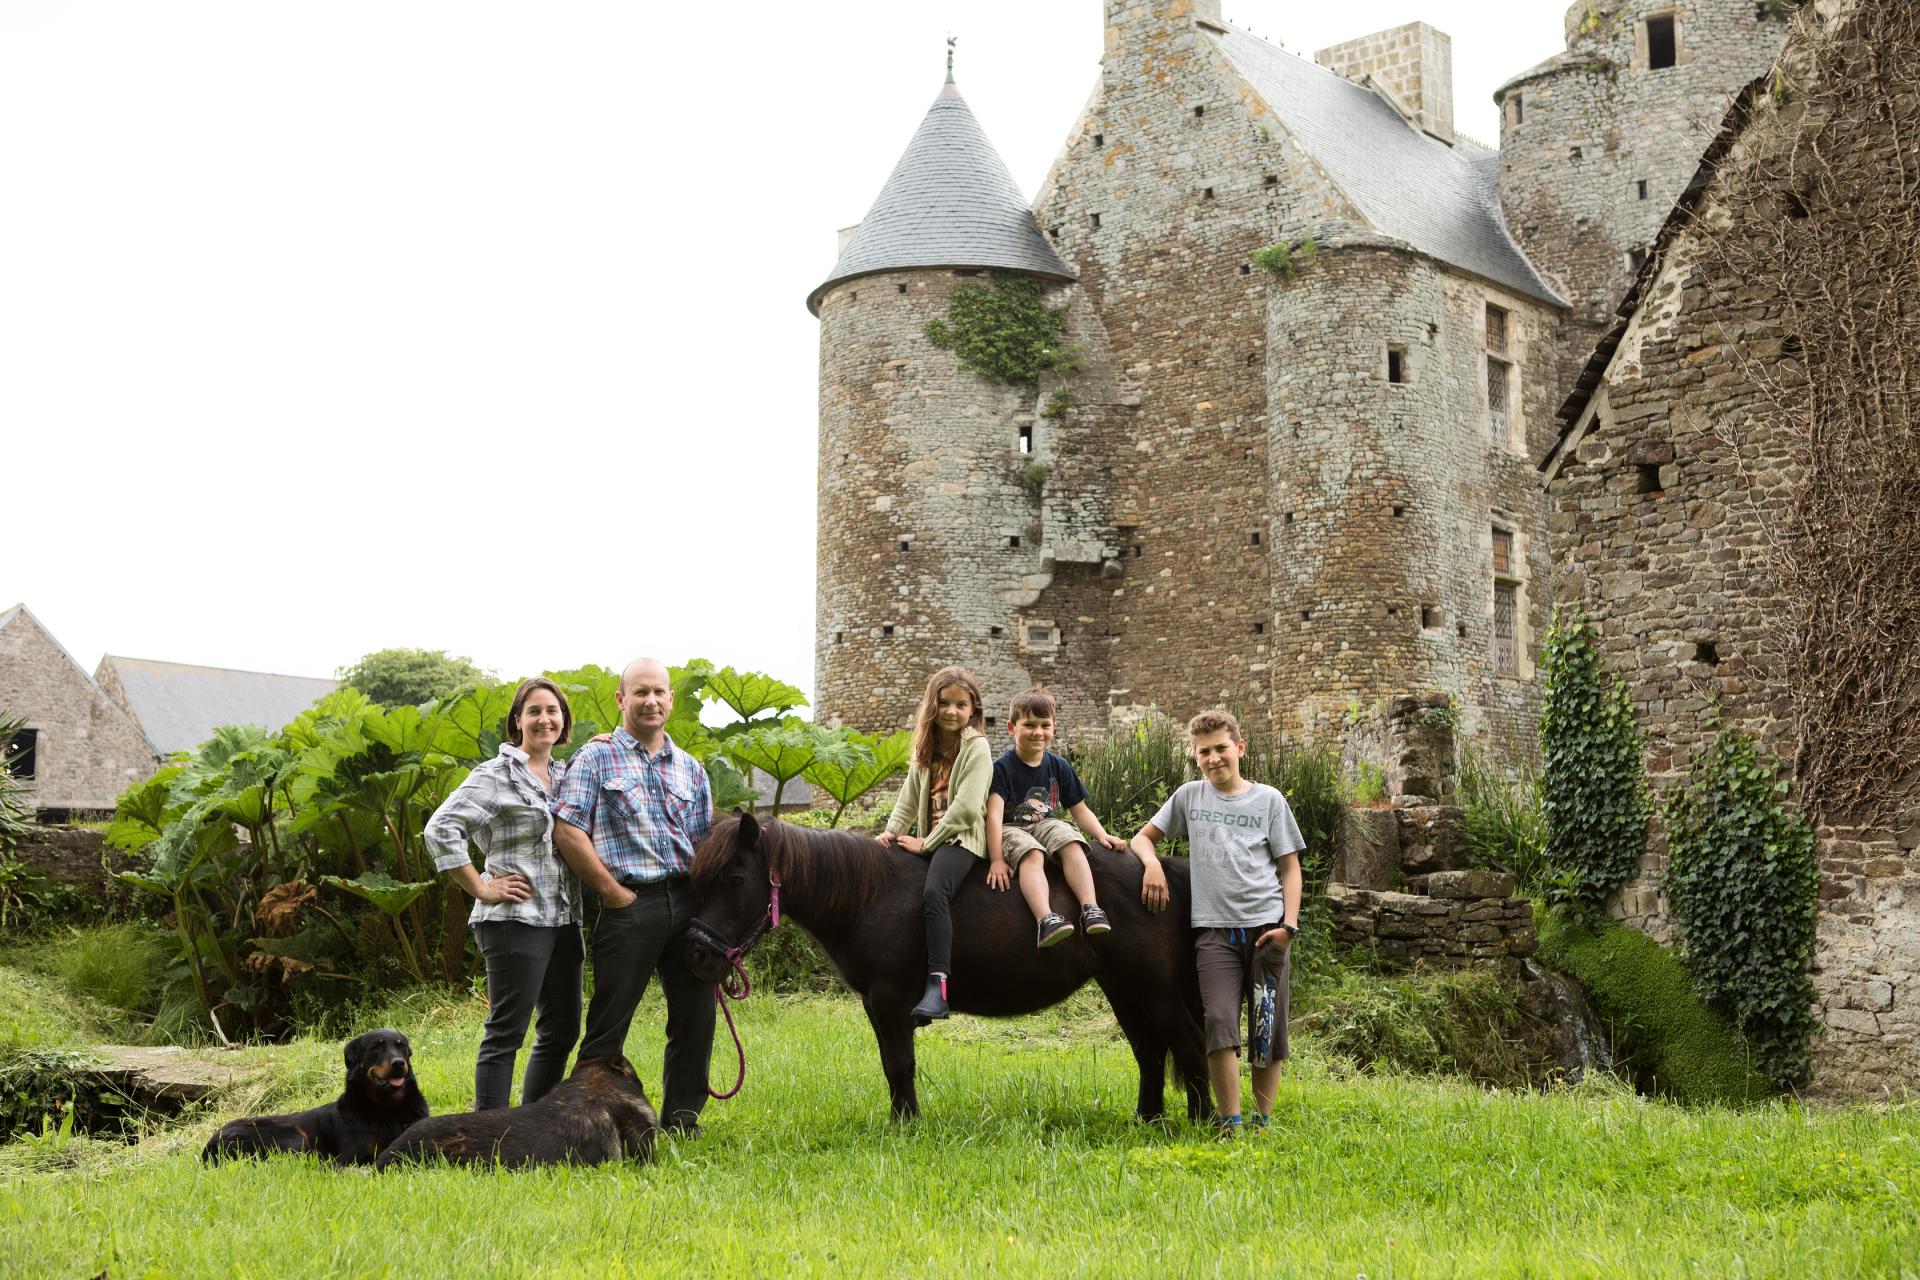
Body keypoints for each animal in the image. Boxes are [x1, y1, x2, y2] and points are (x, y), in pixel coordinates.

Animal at [202, 1028, 428, 1174]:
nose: (398, 1063)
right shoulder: (351, 1156)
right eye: (376, 1047)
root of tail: (209, 1144)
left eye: (401, 1046)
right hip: (294, 1137)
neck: (388, 1109)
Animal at [683, 821, 1205, 1120]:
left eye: (734, 878)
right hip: (1124, 989)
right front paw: (901, 1120)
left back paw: (1202, 1121)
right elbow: (891, 1066)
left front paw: (907, 1126)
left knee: (1188, 1045)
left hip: (1154, 989)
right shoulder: (875, 1004)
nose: (698, 955)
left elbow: (900, 1064)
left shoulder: (891, 999)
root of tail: (1159, 871)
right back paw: (1147, 1120)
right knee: (1150, 1053)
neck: (869, 894)